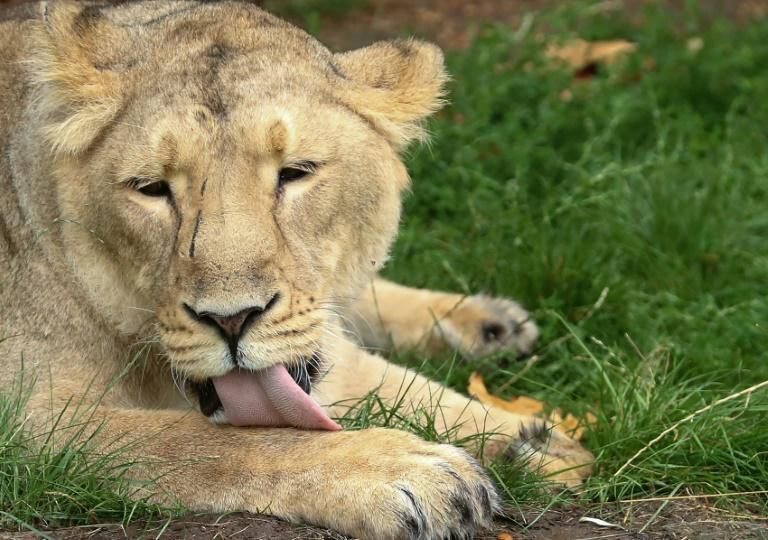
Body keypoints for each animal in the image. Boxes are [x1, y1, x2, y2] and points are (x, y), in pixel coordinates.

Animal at [0, 2, 592, 539]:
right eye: (151, 188)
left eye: (296, 172)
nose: (231, 320)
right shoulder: (30, 426)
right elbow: (211, 441)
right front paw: (408, 472)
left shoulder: (322, 343)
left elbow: (405, 387)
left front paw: (538, 444)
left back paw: (490, 325)